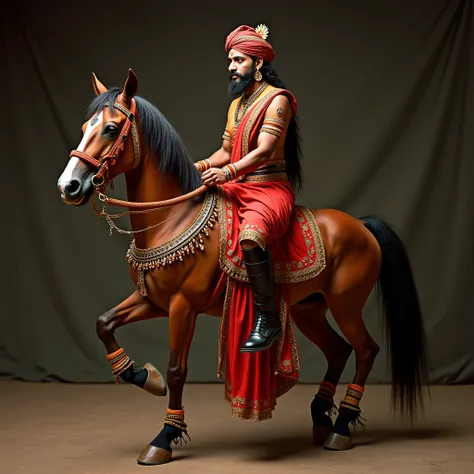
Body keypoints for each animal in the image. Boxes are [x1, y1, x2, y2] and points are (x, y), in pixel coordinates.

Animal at [56, 68, 430, 464]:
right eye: (86, 126)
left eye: (111, 129)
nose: (69, 186)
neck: (173, 217)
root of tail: (361, 225)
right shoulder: (152, 301)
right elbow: (104, 324)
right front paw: (145, 377)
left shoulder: (182, 306)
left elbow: (177, 370)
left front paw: (165, 436)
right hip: (308, 309)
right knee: (339, 350)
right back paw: (320, 417)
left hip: (346, 305)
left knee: (366, 350)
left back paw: (341, 427)